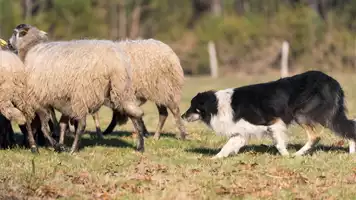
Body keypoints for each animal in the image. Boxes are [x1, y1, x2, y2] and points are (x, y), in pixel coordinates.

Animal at [7, 24, 145, 154]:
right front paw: (61, 143)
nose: (8, 43)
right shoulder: (64, 102)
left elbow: (44, 127)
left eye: (15, 33)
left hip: (84, 93)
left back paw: (73, 150)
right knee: (134, 114)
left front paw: (56, 146)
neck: (30, 48)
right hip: (120, 89)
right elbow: (62, 125)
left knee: (82, 124)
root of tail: (115, 61)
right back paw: (140, 146)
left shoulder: (38, 99)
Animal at [182, 71, 354, 159]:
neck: (217, 105)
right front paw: (215, 159)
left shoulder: (274, 122)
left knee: (316, 136)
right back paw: (352, 153)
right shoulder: (241, 132)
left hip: (302, 113)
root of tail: (333, 82)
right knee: (350, 126)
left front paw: (285, 156)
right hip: (326, 115)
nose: (182, 117)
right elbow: (227, 146)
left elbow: (279, 143)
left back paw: (297, 154)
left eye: (193, 107)